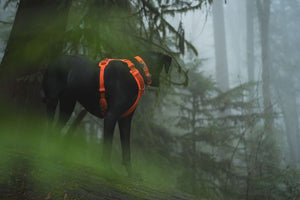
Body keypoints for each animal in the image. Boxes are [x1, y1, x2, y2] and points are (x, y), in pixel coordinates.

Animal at [42, 51, 171, 175]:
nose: (158, 83)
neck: (135, 72)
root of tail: (52, 61)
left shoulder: (125, 119)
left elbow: (127, 149)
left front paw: (131, 173)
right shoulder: (111, 116)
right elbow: (108, 146)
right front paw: (108, 168)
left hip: (67, 105)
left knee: (56, 129)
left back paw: (57, 155)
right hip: (53, 101)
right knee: (48, 129)